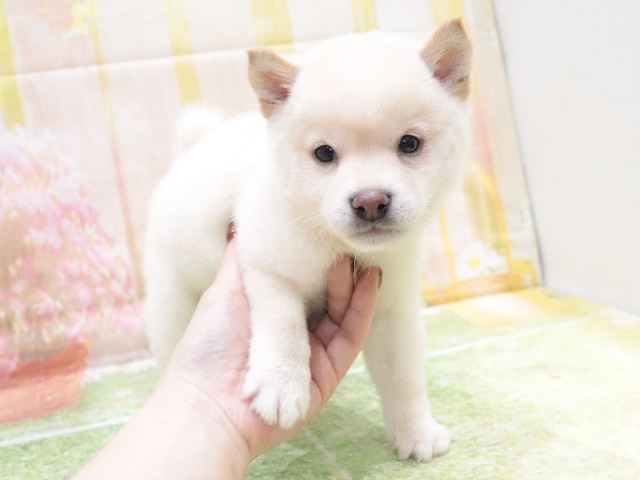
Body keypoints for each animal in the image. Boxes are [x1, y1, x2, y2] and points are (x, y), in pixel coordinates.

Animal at [144, 19, 471, 462]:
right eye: (324, 153)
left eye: (409, 144)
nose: (370, 201)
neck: (334, 244)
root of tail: (196, 147)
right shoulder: (269, 269)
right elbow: (284, 328)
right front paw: (281, 384)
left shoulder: (393, 310)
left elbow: (403, 378)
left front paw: (416, 432)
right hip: (172, 304)